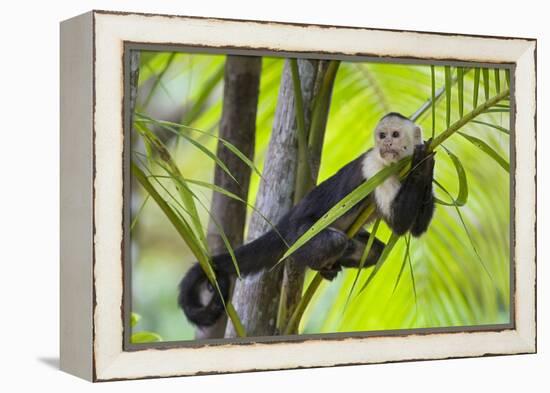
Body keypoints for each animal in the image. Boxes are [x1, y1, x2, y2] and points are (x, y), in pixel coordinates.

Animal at [179, 112, 438, 326]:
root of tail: (288, 219)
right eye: (382, 135)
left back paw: (334, 264)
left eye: (395, 134)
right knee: (333, 241)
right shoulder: (375, 167)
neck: (396, 165)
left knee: (374, 250)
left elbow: (415, 228)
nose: (386, 144)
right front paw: (422, 163)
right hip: (299, 233)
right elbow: (398, 222)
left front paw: (426, 164)